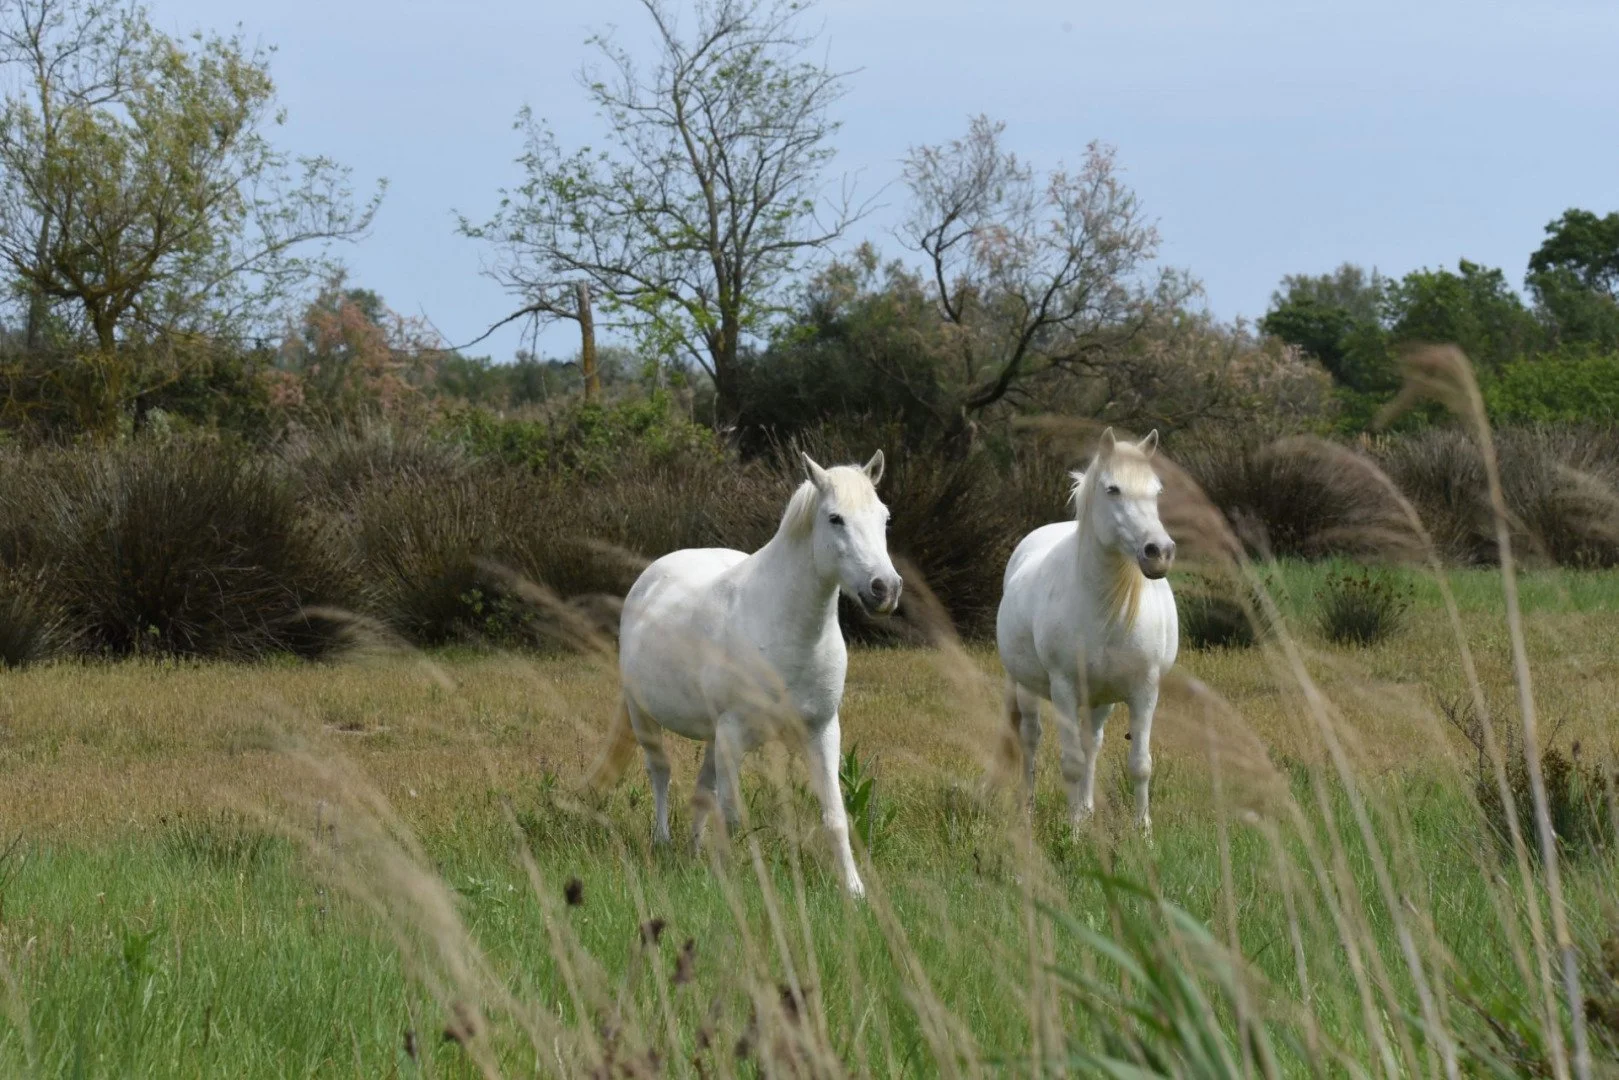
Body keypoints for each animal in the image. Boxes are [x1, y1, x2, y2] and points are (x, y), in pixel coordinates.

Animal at [593, 451, 901, 897]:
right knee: (661, 772)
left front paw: (854, 890)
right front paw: (733, 880)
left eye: (884, 517)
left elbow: (835, 817)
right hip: (644, 714)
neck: (781, 628)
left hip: (712, 736)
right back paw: (663, 843)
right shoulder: (734, 733)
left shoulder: (823, 731)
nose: (885, 589)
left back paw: (693, 853)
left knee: (702, 789)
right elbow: (733, 817)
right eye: (835, 518)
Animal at [996, 428, 1177, 832]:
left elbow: (1140, 765)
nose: (1159, 552)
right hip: (1026, 687)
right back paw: (1030, 811)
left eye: (1157, 490)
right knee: (1031, 740)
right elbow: (1072, 764)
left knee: (1091, 741)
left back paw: (1087, 808)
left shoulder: (1145, 690)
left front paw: (1144, 832)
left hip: (1101, 698)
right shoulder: (1063, 688)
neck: (1106, 607)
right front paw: (1074, 833)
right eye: (1113, 489)